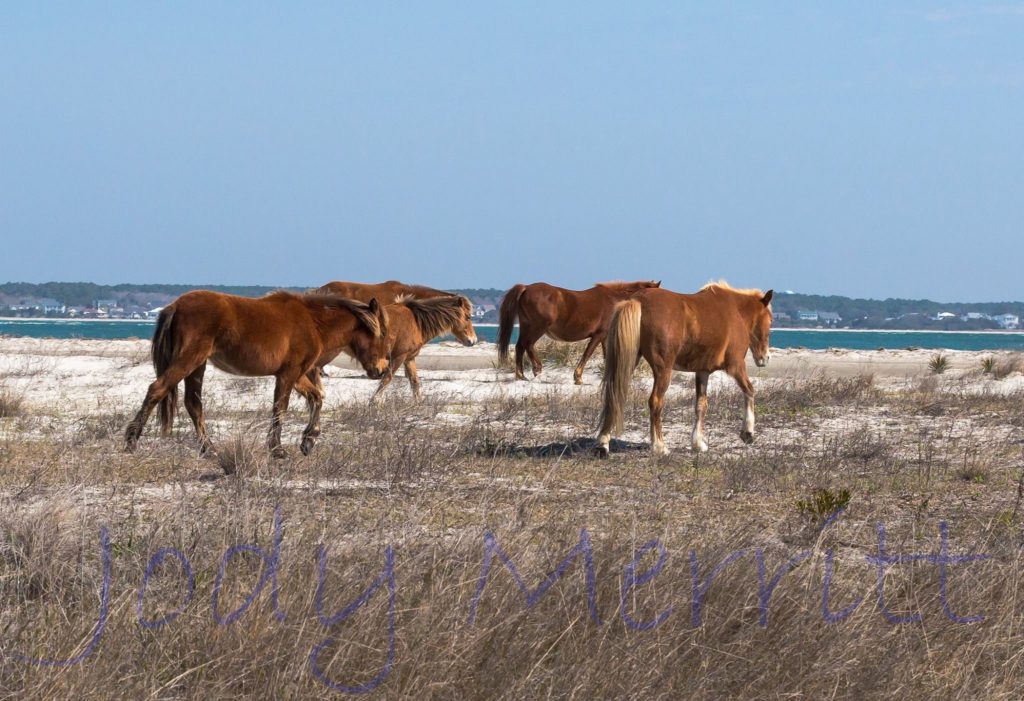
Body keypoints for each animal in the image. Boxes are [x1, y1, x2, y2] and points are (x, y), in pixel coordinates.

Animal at [120, 290, 391, 458]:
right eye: (382, 335)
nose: (380, 370)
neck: (313, 323)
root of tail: (175, 306)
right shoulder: (288, 374)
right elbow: (279, 409)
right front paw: (277, 449)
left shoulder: (297, 375)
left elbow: (317, 398)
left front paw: (308, 439)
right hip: (189, 360)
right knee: (158, 389)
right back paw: (131, 440)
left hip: (197, 366)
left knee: (193, 405)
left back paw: (209, 449)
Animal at [497, 278, 659, 382]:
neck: (615, 301)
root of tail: (526, 288)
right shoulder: (598, 335)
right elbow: (587, 354)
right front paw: (578, 377)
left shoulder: (605, 337)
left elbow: (607, 356)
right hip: (538, 327)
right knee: (528, 345)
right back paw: (536, 368)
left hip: (526, 326)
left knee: (520, 346)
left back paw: (520, 375)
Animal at [598, 282, 770, 456]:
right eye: (769, 321)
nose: (765, 358)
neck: (735, 310)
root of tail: (638, 300)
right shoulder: (736, 365)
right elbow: (749, 390)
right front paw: (748, 432)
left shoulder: (702, 371)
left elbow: (701, 405)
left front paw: (698, 443)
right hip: (663, 370)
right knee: (655, 401)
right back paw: (659, 446)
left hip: (628, 359)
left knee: (613, 395)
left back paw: (603, 444)